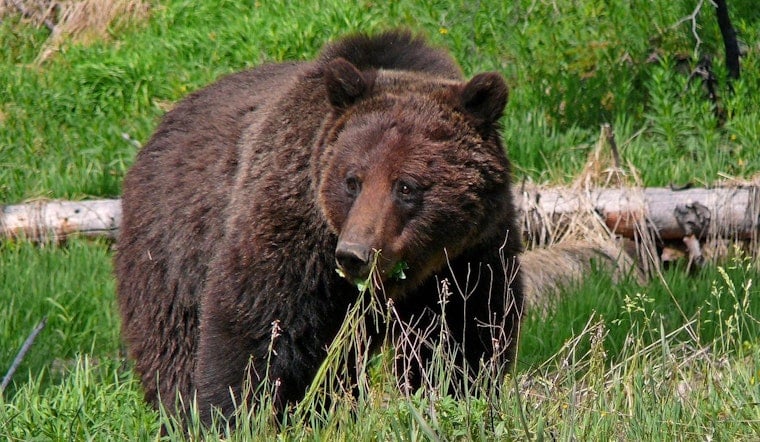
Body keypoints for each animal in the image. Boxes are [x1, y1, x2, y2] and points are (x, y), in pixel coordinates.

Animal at [115, 29, 524, 425]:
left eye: (406, 186)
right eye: (352, 181)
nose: (355, 254)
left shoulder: (468, 256)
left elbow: (463, 337)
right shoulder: (296, 233)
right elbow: (257, 328)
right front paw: (231, 415)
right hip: (172, 253)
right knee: (174, 344)